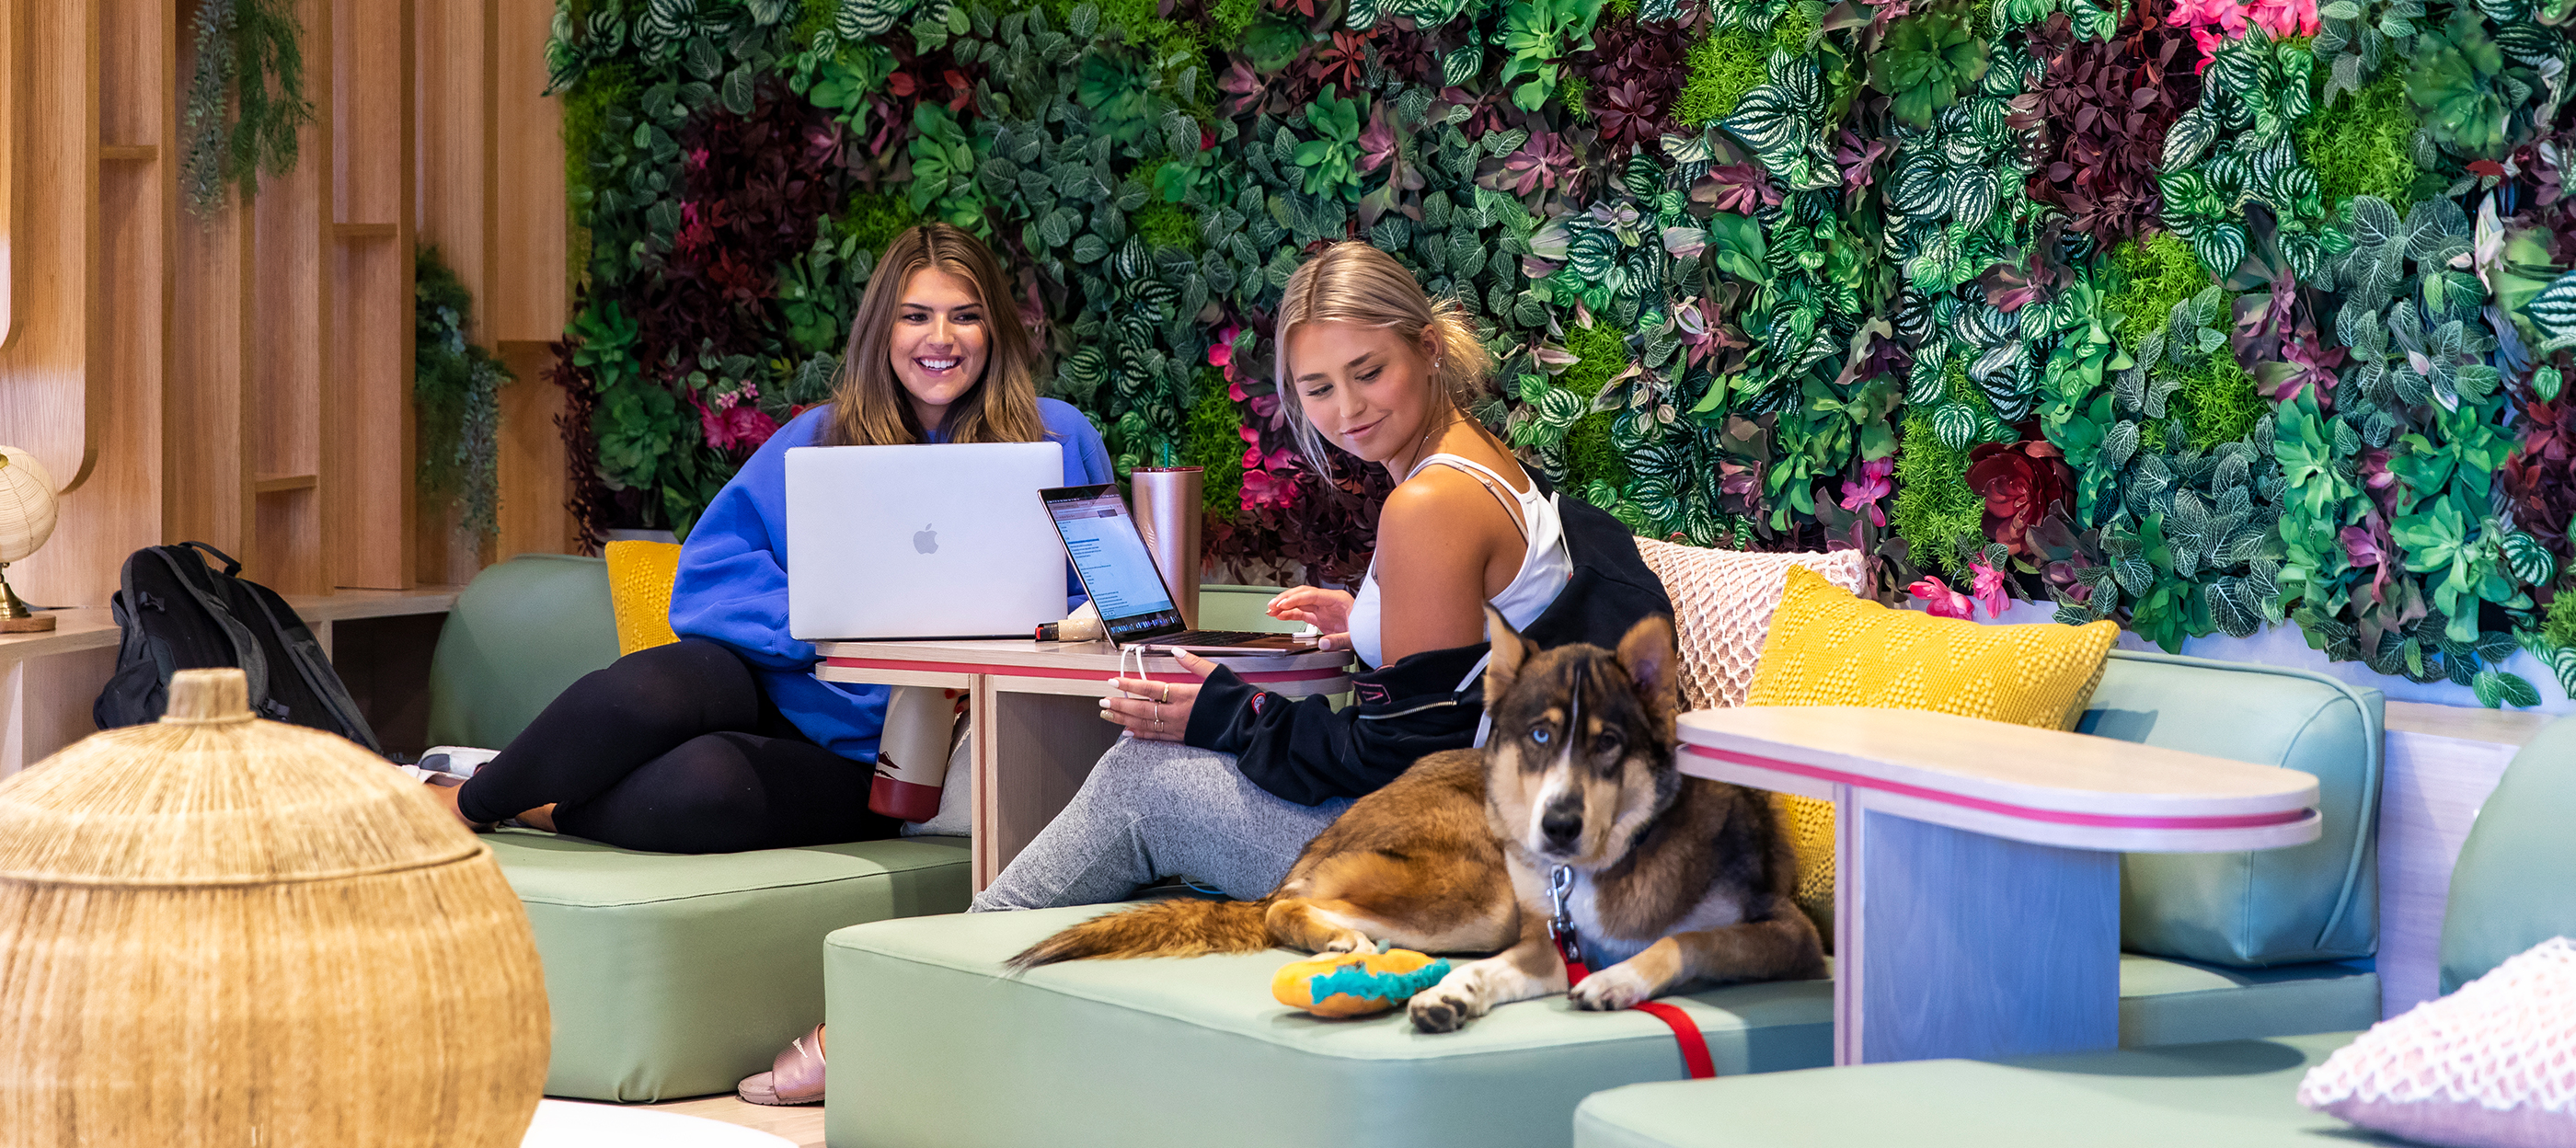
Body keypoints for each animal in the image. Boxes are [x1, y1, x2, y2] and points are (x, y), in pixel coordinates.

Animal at [1009, 610, 1834, 1029]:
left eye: (1607, 744)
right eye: (1539, 736)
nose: (1556, 827)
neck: (1602, 866)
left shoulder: (1788, 934)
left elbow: (1685, 941)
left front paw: (1614, 980)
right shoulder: (1537, 936)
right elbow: (1500, 969)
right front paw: (1455, 993)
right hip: (1475, 897)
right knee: (1286, 907)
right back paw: (1338, 939)